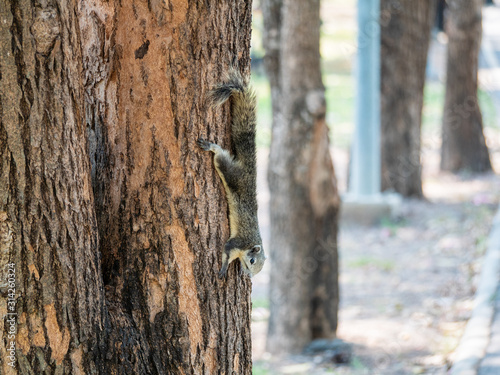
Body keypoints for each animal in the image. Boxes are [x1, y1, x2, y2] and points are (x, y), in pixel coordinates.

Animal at [197, 70, 266, 280]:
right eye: (252, 260)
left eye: (259, 268)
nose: (249, 275)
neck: (249, 245)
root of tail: (249, 170)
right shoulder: (237, 242)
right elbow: (226, 251)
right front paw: (223, 268)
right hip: (230, 172)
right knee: (220, 157)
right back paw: (212, 147)